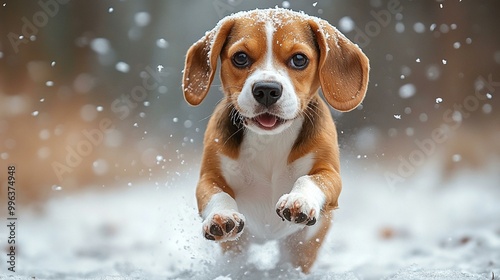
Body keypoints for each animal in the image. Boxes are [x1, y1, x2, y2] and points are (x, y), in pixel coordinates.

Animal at [182, 7, 370, 272]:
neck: (269, 140)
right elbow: (218, 194)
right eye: (240, 57)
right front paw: (222, 217)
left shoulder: (329, 173)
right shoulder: (209, 177)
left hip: (301, 246)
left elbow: (310, 179)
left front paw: (299, 200)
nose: (267, 90)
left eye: (299, 59)